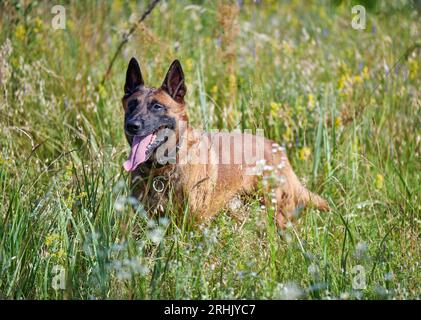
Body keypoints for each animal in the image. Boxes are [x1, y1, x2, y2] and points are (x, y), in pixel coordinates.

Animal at [121, 57, 328, 228]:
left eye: (157, 106)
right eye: (132, 105)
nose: (132, 125)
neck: (162, 169)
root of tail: (276, 148)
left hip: (277, 216)